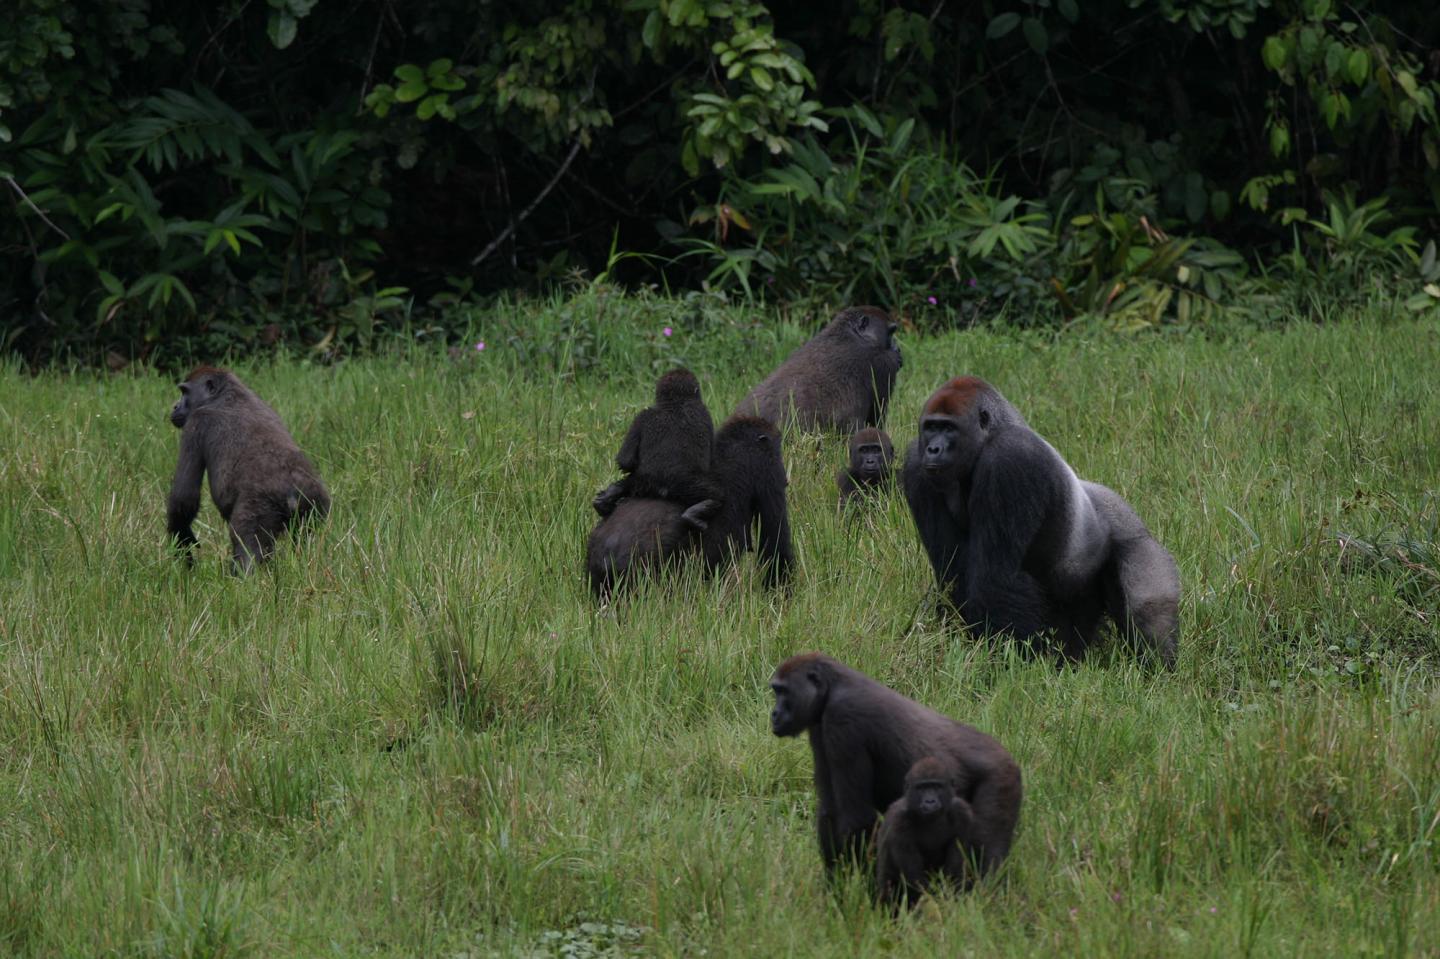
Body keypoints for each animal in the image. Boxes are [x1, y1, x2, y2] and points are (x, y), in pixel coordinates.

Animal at [167, 366, 330, 573]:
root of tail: (293, 491)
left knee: (248, 546)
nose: (175, 406)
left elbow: (184, 496)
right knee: (307, 542)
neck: (227, 393)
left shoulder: (196, 423)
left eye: (184, 392)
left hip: (259, 508)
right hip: (315, 502)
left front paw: (181, 536)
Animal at [592, 368, 722, 530]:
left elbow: (625, 460)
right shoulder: (705, 413)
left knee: (627, 484)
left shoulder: (641, 416)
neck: (676, 403)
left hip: (642, 483)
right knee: (716, 496)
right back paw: (694, 515)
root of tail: (662, 488)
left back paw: (605, 500)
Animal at [768, 653, 1021, 881]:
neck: (833, 686)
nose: (774, 714)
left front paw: (860, 888)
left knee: (988, 845)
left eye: (783, 691)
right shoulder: (819, 726)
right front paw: (836, 886)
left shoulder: (843, 719)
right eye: (776, 691)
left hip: (1001, 778)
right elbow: (830, 811)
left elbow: (857, 818)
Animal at [876, 756, 976, 908]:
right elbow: (914, 874)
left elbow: (954, 868)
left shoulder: (961, 812)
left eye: (937, 787)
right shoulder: (899, 820)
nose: (930, 801)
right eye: (921, 788)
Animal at [901, 376, 1180, 667]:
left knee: (1147, 612)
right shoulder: (916, 465)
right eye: (931, 427)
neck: (991, 434)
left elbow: (994, 580)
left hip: (1138, 542)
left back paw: (1156, 664)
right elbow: (953, 572)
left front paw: (1008, 658)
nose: (933, 449)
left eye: (949, 428)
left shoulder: (1010, 457)